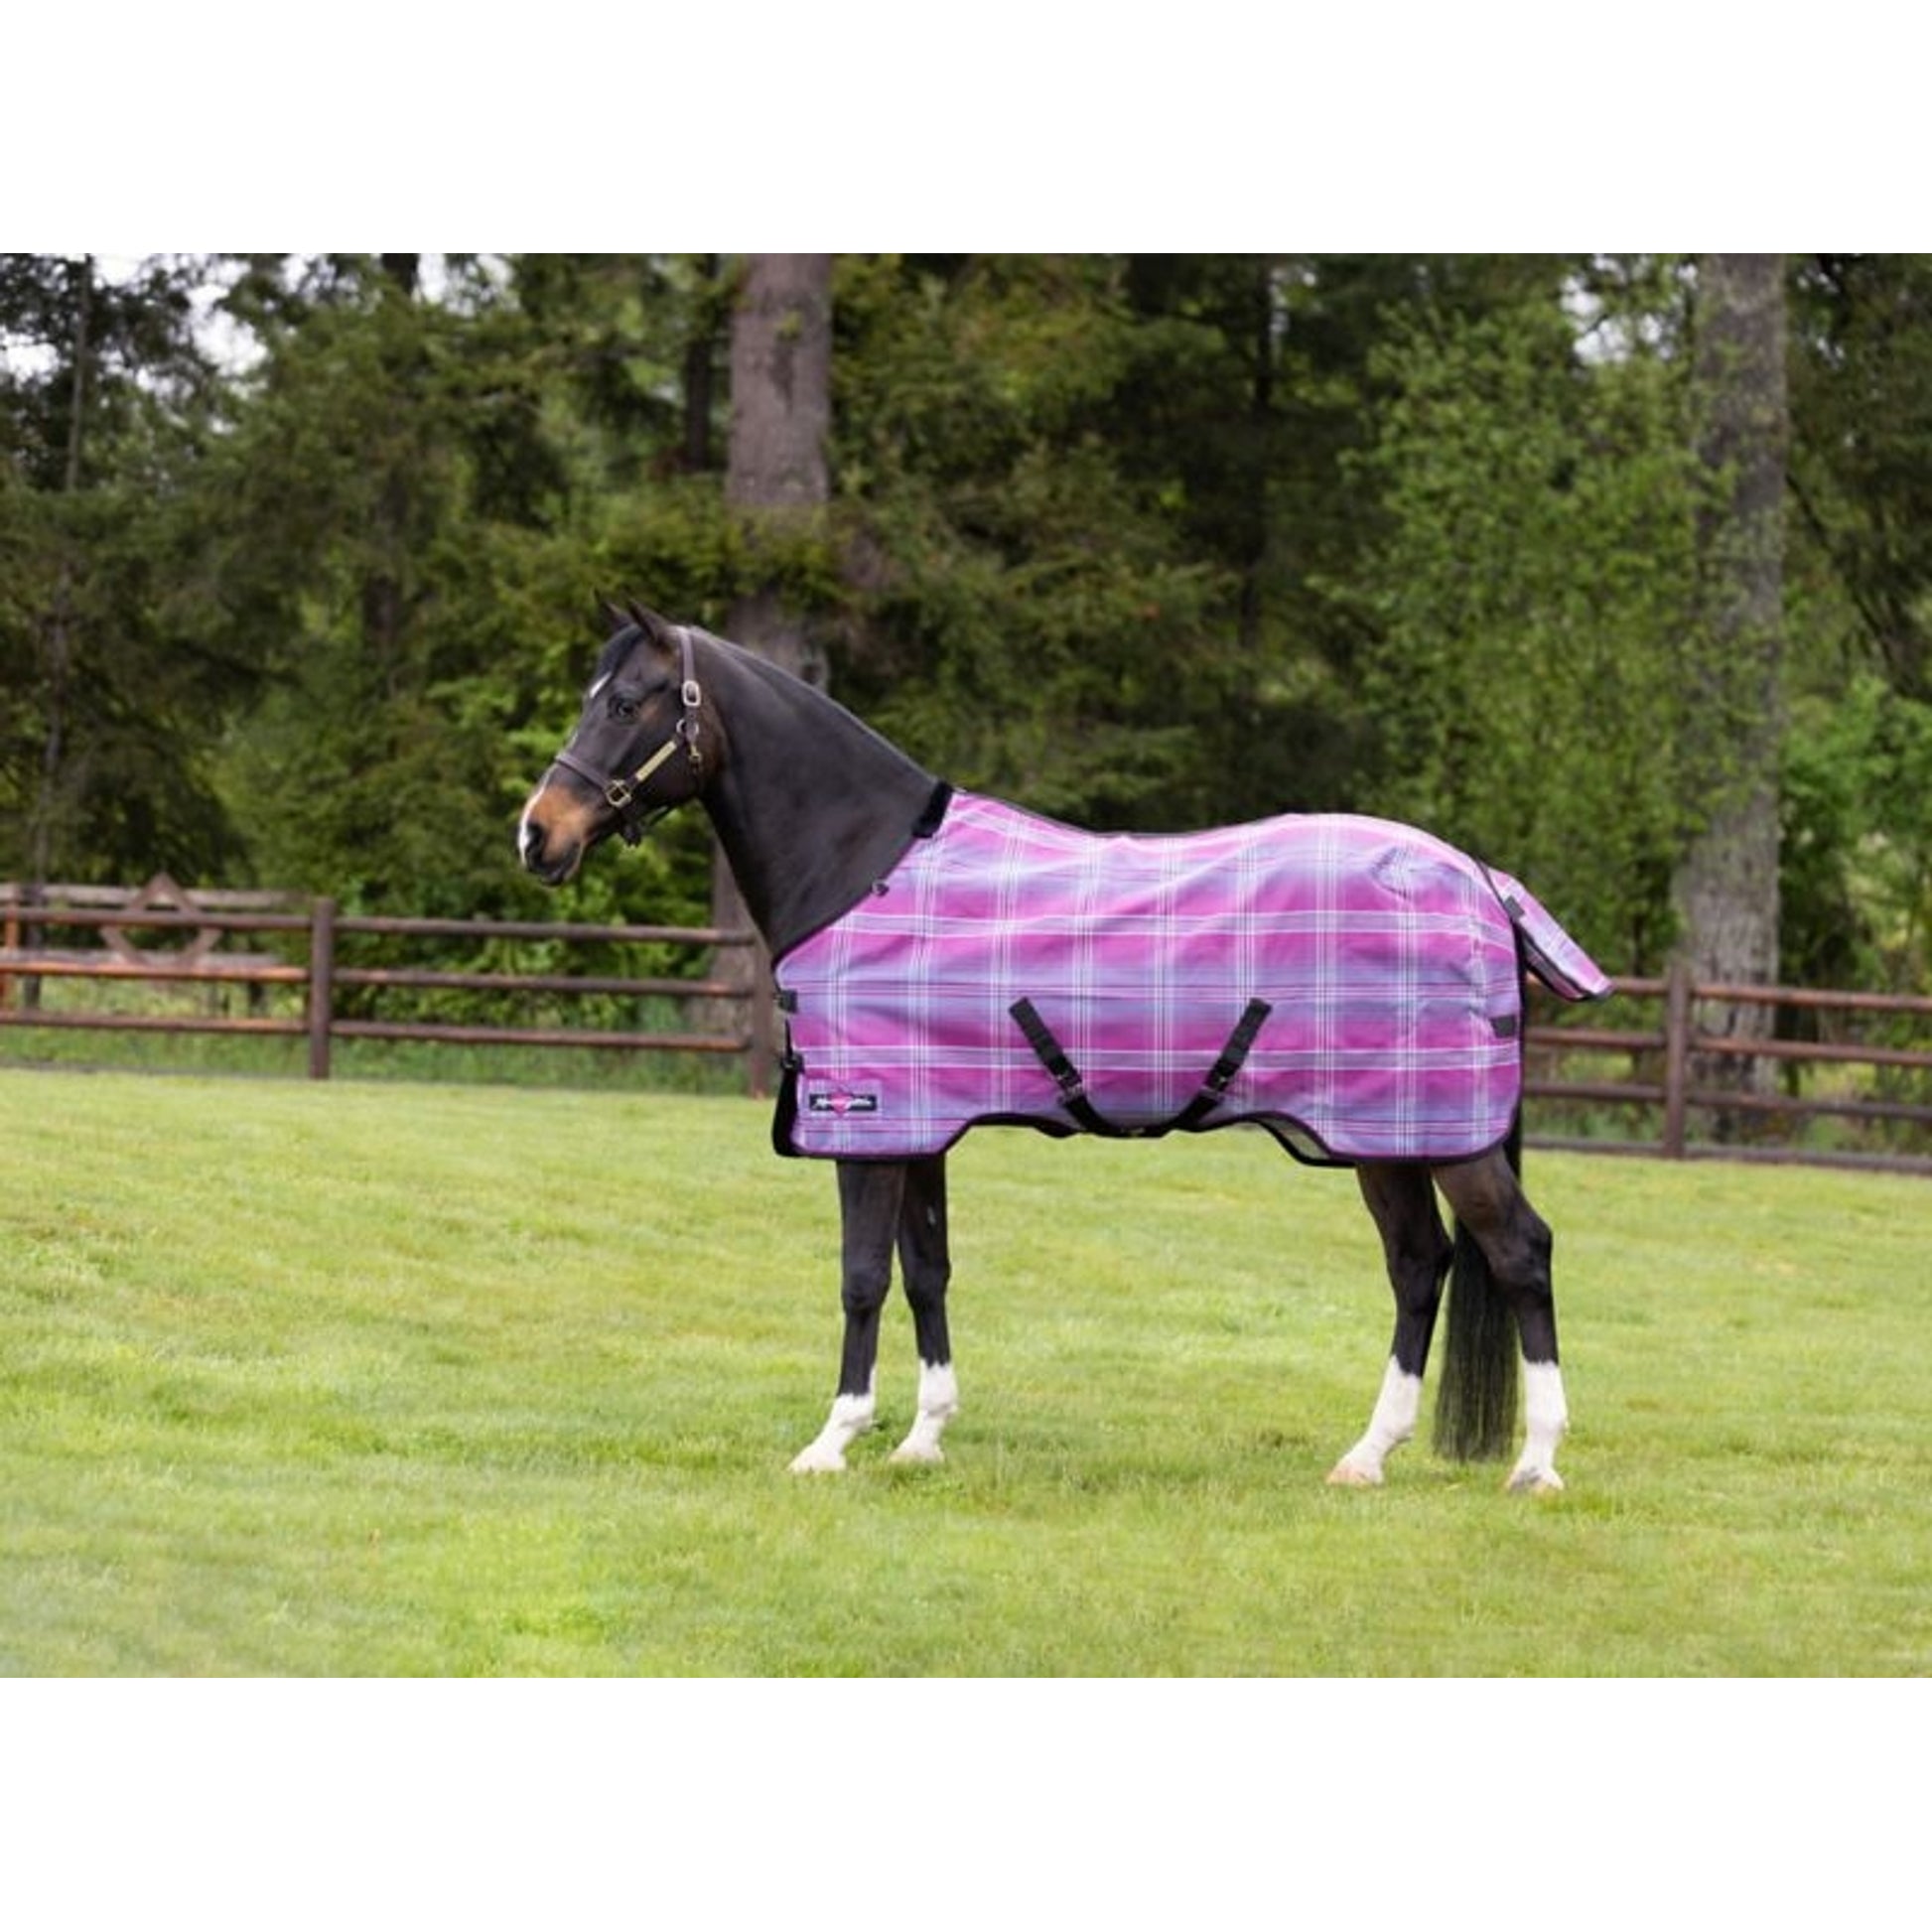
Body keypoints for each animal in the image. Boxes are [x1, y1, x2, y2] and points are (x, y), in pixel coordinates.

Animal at [518, 603, 1611, 1493]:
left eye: (627, 703)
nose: (538, 835)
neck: (861, 861)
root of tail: (1480, 879)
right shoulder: (920, 1125)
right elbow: (927, 1270)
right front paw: (922, 1439)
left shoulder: (865, 1123)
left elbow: (862, 1275)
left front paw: (832, 1442)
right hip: (1380, 1138)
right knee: (1420, 1265)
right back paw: (1366, 1456)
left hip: (1443, 1140)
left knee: (1519, 1253)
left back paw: (1537, 1463)